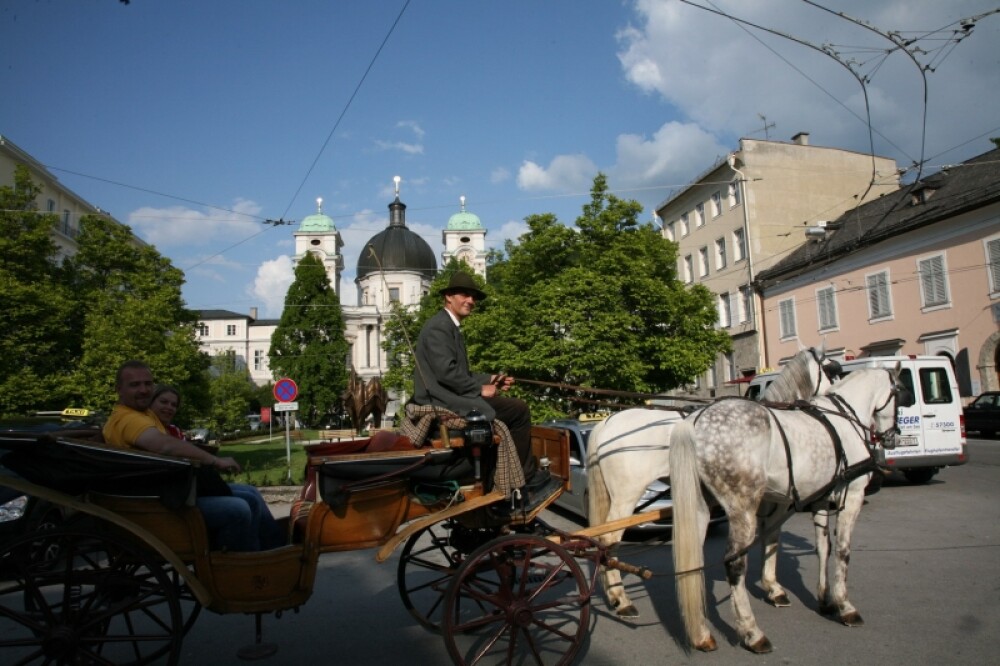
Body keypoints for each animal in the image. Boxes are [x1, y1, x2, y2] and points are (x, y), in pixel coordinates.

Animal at [584, 344, 836, 616]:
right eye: (831, 370)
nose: (833, 399)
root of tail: (605, 424)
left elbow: (770, 538)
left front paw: (772, 586)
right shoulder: (777, 501)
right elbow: (772, 538)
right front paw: (774, 587)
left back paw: (614, 595)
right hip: (626, 496)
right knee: (608, 541)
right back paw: (622, 600)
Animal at [668, 366, 904, 652]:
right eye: (900, 392)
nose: (892, 437)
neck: (843, 420)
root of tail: (695, 420)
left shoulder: (821, 500)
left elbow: (823, 548)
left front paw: (824, 599)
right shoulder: (853, 496)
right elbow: (843, 551)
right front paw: (844, 606)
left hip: (701, 508)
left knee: (694, 563)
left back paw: (702, 634)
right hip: (743, 511)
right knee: (735, 564)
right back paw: (752, 632)